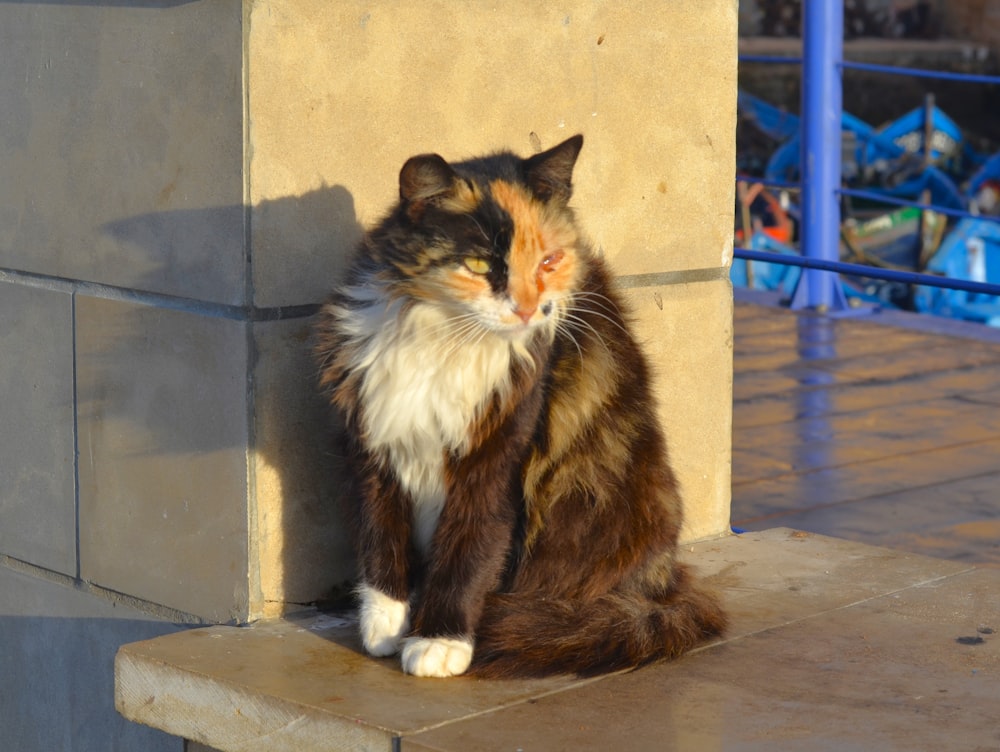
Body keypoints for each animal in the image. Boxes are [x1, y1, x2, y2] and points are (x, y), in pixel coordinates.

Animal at [314, 137, 728, 680]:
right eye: (480, 265)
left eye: (549, 262)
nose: (529, 309)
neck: (444, 340)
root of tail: (667, 579)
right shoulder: (373, 442)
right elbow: (380, 536)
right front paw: (385, 622)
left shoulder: (498, 456)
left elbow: (469, 550)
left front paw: (439, 639)